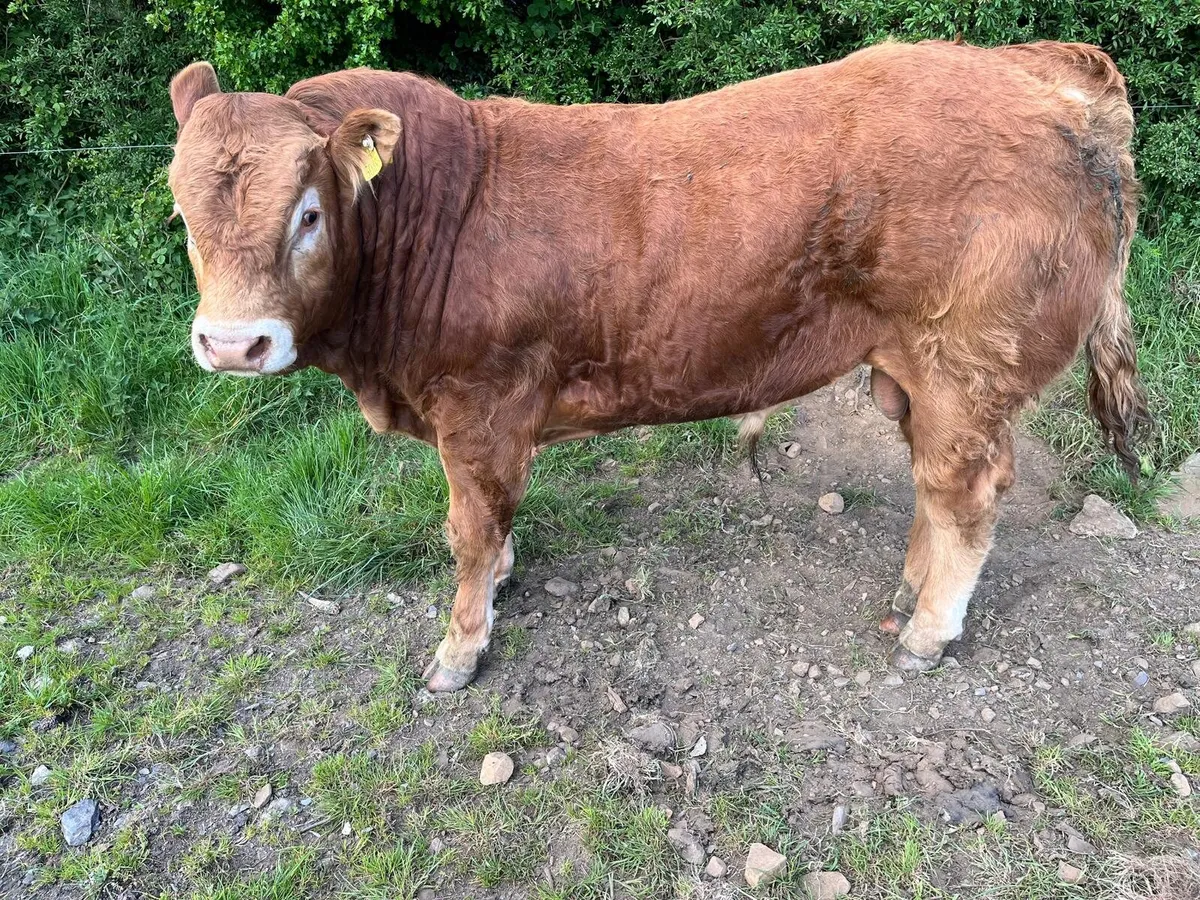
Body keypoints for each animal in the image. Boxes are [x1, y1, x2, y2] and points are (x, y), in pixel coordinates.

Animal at [166, 39, 1149, 692]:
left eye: (307, 212)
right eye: (180, 209)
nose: (232, 344)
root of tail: (1040, 73)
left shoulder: (479, 405)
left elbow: (469, 528)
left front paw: (460, 648)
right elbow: (493, 525)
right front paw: (502, 581)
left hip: (969, 366)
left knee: (966, 495)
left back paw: (929, 631)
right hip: (911, 372)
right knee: (930, 486)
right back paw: (911, 590)